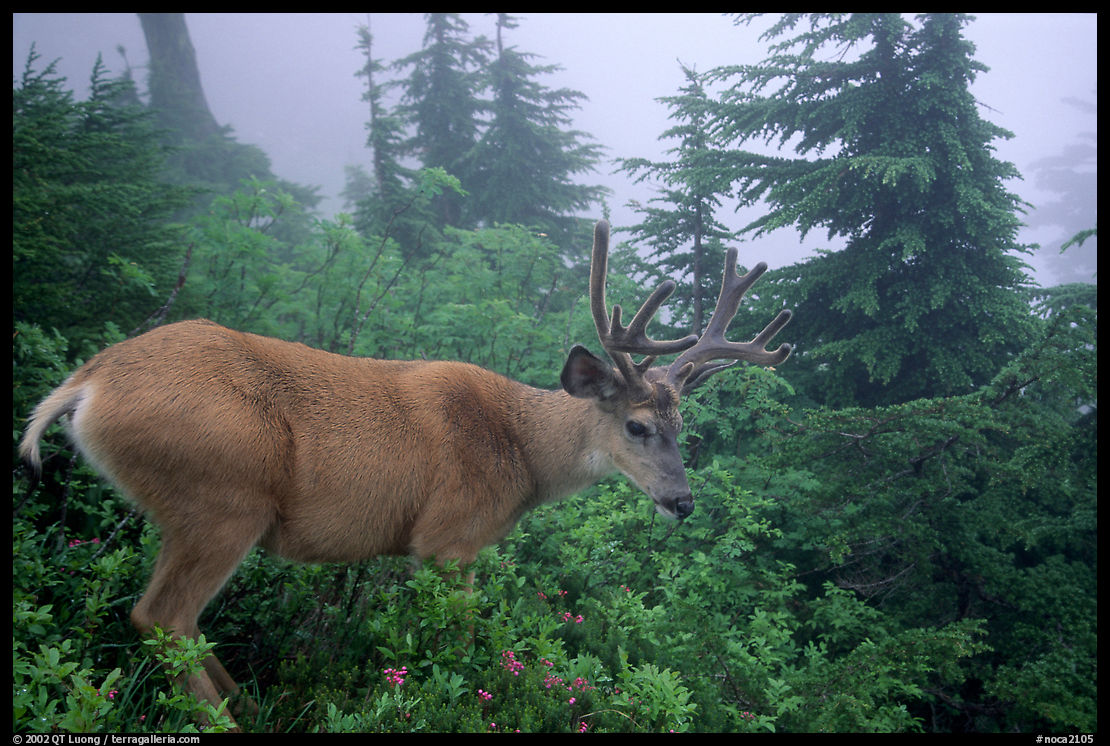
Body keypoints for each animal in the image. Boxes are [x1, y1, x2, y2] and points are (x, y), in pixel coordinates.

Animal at [19, 219, 791, 728]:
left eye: (683, 427)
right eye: (636, 426)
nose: (682, 501)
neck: (521, 453)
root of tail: (88, 384)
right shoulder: (450, 538)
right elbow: (464, 641)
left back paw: (252, 701)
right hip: (221, 498)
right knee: (162, 615)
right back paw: (231, 719)